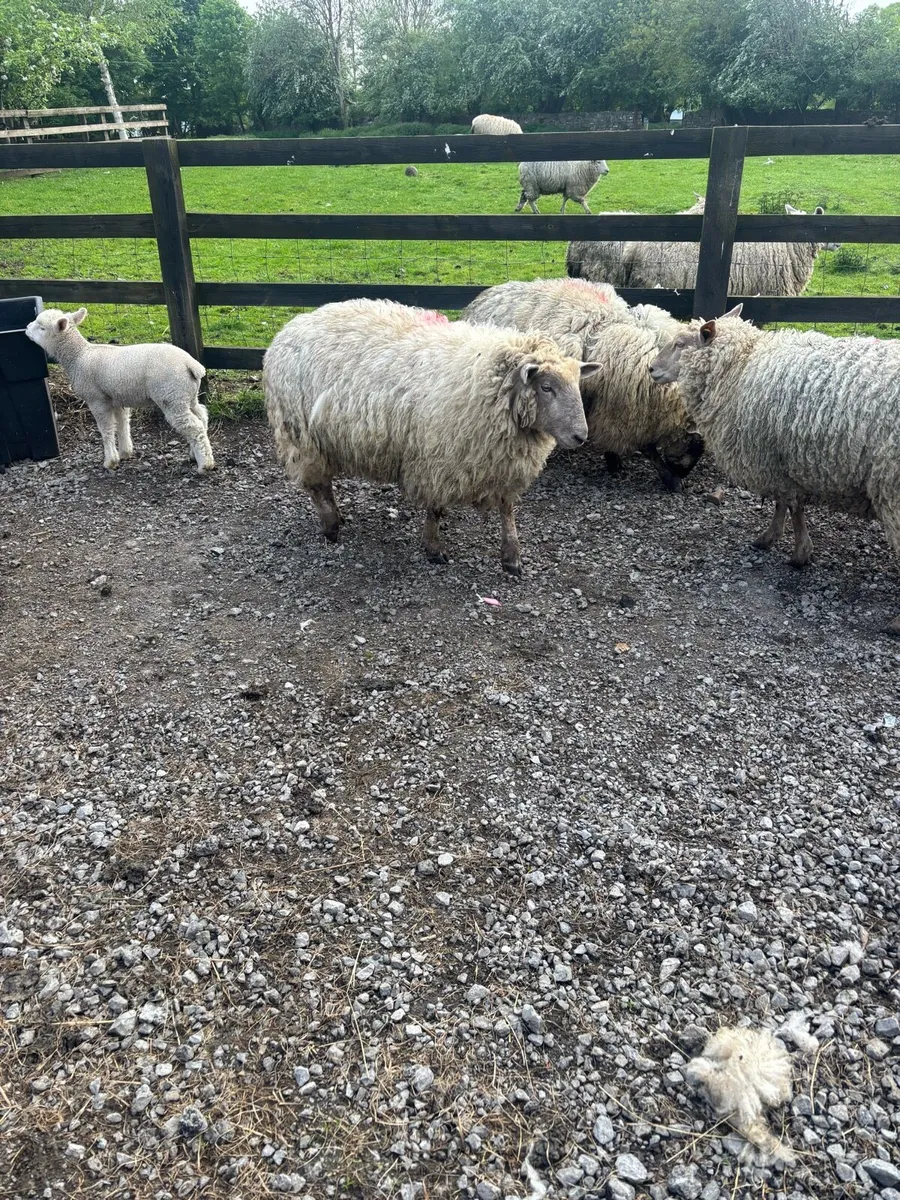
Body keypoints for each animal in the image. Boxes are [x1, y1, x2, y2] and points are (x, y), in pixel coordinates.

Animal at [25, 307, 213, 473]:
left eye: (42, 328)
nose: (26, 328)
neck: (79, 356)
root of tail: (192, 365)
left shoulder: (96, 400)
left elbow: (106, 429)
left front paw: (110, 461)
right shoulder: (116, 398)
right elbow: (123, 425)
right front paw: (125, 452)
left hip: (172, 396)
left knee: (194, 427)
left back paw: (205, 464)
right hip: (187, 395)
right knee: (202, 417)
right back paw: (195, 455)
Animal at [263, 298, 599, 574]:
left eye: (576, 383)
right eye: (546, 387)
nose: (581, 436)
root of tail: (293, 324)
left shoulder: (502, 464)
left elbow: (507, 511)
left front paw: (512, 556)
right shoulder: (439, 461)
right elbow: (436, 509)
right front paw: (434, 549)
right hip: (301, 436)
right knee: (317, 485)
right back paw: (331, 526)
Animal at [462, 277, 703, 491]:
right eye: (694, 446)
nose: (684, 473)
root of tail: (483, 295)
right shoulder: (619, 410)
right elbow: (647, 448)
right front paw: (669, 479)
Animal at [649, 305, 900, 632]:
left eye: (680, 344)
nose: (651, 369)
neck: (741, 365)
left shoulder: (772, 458)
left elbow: (789, 505)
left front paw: (790, 548)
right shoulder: (783, 461)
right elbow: (789, 504)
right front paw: (785, 544)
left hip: (893, 488)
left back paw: (896, 622)